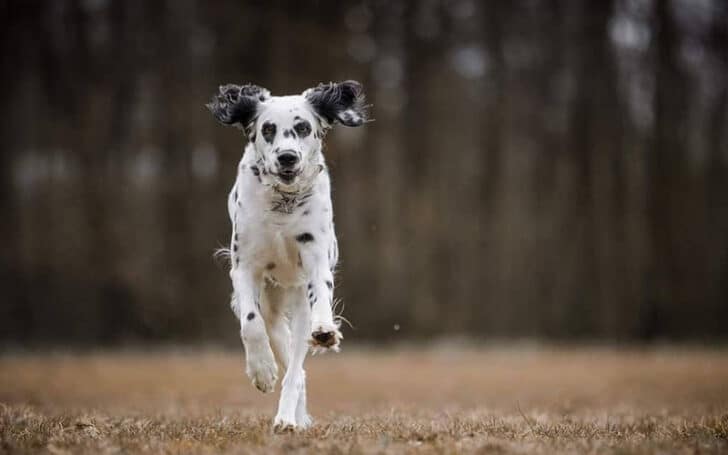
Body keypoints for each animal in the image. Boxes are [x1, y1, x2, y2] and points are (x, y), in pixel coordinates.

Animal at [206, 80, 366, 432]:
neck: (283, 205)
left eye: (303, 127)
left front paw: (326, 329)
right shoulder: (244, 268)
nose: (288, 157)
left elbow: (322, 297)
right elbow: (251, 324)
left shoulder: (316, 260)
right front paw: (262, 369)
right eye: (268, 129)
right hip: (275, 313)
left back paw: (287, 419)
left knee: (296, 369)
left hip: (298, 305)